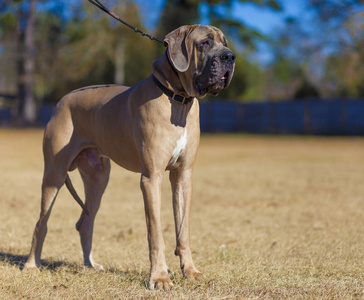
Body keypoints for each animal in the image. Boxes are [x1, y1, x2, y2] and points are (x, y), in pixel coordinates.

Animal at [25, 24, 236, 290]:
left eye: (224, 43)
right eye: (205, 43)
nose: (230, 57)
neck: (176, 97)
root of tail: (62, 100)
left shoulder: (183, 176)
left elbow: (183, 229)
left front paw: (190, 271)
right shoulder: (151, 178)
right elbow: (155, 233)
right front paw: (159, 277)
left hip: (98, 178)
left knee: (85, 222)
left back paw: (90, 265)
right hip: (54, 174)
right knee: (41, 223)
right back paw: (31, 265)